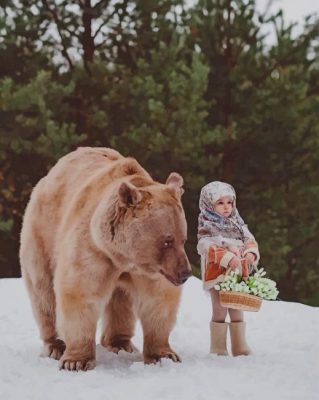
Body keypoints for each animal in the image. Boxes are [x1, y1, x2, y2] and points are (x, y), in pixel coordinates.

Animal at [21, 147, 194, 372]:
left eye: (183, 238)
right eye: (167, 240)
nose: (185, 273)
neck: (122, 255)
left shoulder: (149, 270)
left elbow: (158, 300)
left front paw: (164, 355)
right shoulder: (92, 250)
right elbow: (80, 293)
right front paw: (75, 361)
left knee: (121, 300)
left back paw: (121, 343)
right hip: (43, 234)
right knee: (43, 292)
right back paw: (55, 345)